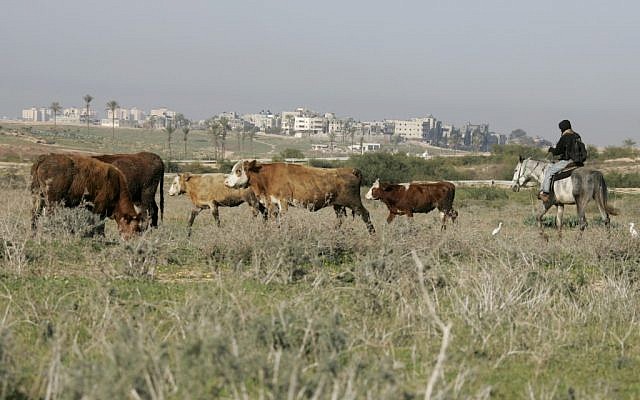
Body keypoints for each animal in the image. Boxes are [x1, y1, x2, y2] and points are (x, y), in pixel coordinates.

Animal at [224, 160, 375, 234]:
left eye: (238, 171)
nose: (226, 182)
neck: (266, 176)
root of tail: (351, 170)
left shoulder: (283, 202)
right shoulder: (272, 203)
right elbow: (274, 219)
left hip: (354, 202)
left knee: (365, 215)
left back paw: (372, 235)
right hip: (338, 205)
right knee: (340, 219)